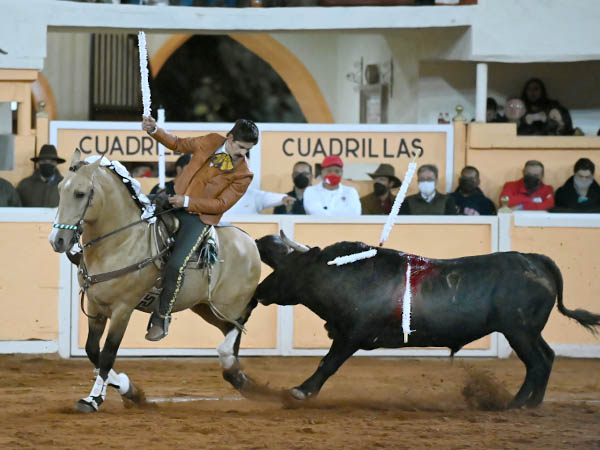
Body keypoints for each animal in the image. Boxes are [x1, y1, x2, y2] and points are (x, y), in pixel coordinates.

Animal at [48, 150, 260, 412]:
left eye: (80, 193)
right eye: (60, 189)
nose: (57, 240)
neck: (120, 243)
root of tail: (250, 242)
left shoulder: (123, 309)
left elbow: (107, 354)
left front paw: (94, 399)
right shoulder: (95, 305)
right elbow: (92, 350)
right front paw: (127, 388)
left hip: (228, 306)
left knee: (240, 323)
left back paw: (231, 362)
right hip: (204, 307)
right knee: (231, 330)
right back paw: (237, 375)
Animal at [254, 236, 600, 408]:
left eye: (289, 264)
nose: (258, 291)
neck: (346, 275)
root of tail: (534, 259)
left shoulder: (350, 336)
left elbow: (327, 364)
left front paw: (300, 392)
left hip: (519, 331)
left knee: (537, 363)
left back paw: (516, 405)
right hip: (528, 331)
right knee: (548, 357)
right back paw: (533, 403)